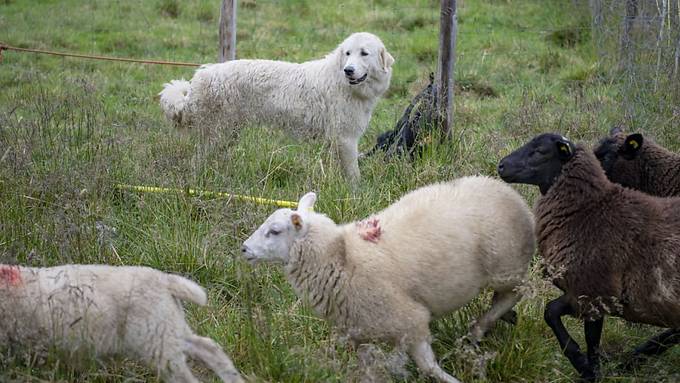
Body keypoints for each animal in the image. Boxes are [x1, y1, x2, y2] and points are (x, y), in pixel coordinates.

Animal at [0, 264, 243, 383]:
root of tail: (164, 280)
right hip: (165, 327)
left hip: (156, 339)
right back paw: (233, 378)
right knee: (208, 347)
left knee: (185, 377)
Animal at [159, 31, 394, 183]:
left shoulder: (339, 141)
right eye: (347, 53)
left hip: (227, 134)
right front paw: (356, 194)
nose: (348, 70)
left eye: (364, 53)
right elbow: (354, 176)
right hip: (217, 134)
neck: (341, 81)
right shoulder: (345, 140)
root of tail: (201, 75)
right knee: (196, 161)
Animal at [242, 177, 532, 383]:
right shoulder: (360, 332)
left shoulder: (411, 321)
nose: (244, 249)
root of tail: (506, 190)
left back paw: (479, 328)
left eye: (274, 231)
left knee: (515, 293)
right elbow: (368, 368)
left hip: (506, 266)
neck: (342, 257)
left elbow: (429, 368)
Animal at [496, 134, 676, 382]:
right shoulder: (581, 292)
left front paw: (588, 369)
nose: (501, 166)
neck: (588, 209)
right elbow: (553, 313)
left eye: (541, 151)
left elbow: (588, 338)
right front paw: (586, 365)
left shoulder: (594, 292)